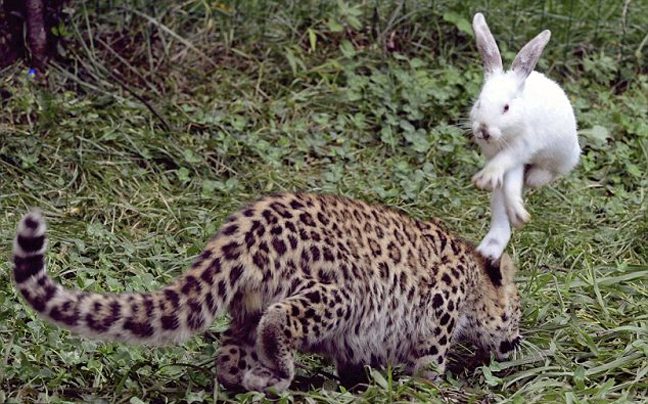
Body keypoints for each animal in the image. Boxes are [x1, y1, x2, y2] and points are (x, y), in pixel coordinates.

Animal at [468, 13, 580, 258]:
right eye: (479, 103)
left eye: (506, 108)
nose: (483, 130)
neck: (504, 134)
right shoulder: (506, 158)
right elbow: (507, 181)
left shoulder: (521, 147)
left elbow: (504, 163)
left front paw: (485, 179)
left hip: (562, 157)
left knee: (548, 174)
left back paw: (532, 181)